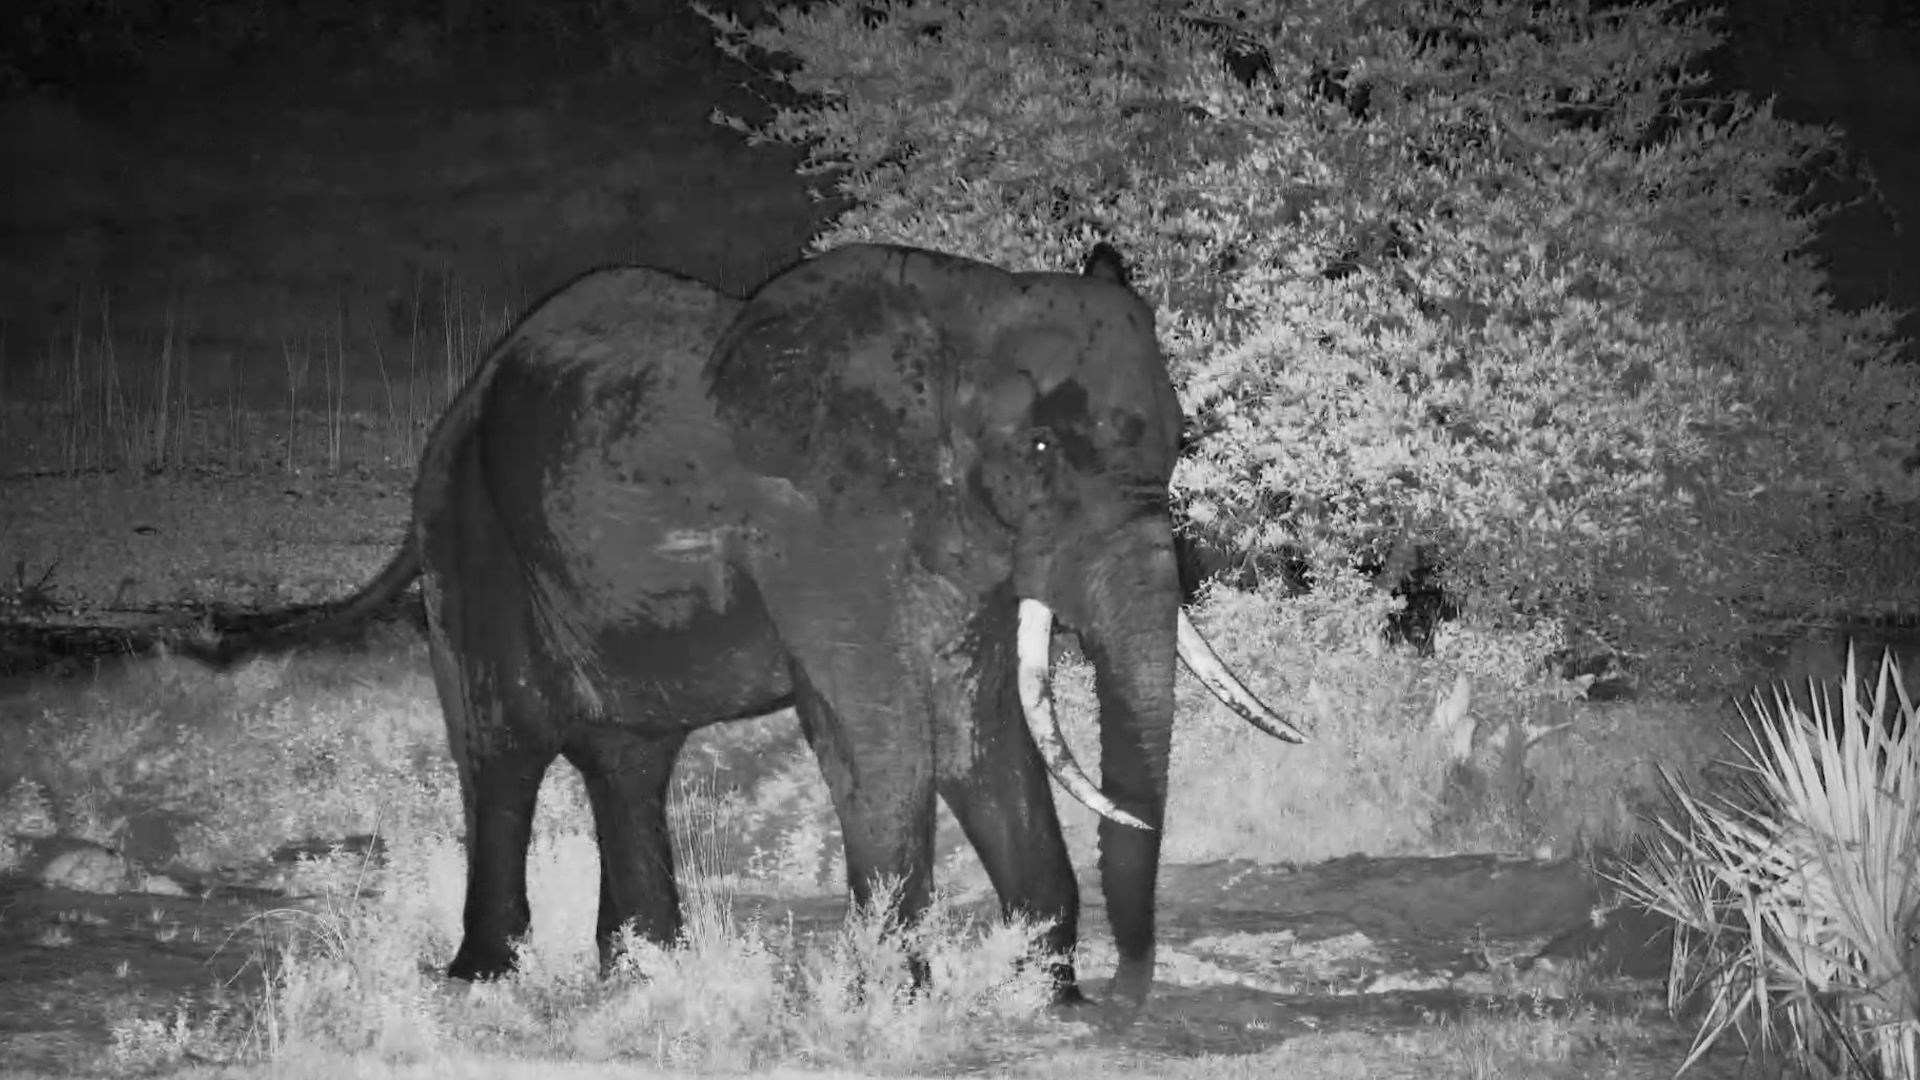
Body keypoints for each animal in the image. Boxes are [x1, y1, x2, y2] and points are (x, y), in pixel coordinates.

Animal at [206, 241, 1305, 1009]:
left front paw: (1046, 999)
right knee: (503, 748)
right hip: (468, 532)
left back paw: (641, 974)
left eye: (1182, 442)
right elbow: (885, 731)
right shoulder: (818, 526)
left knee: (628, 758)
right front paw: (897, 1004)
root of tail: (460, 397)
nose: (1126, 997)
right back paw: (487, 977)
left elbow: (976, 726)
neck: (958, 319)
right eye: (1039, 449)